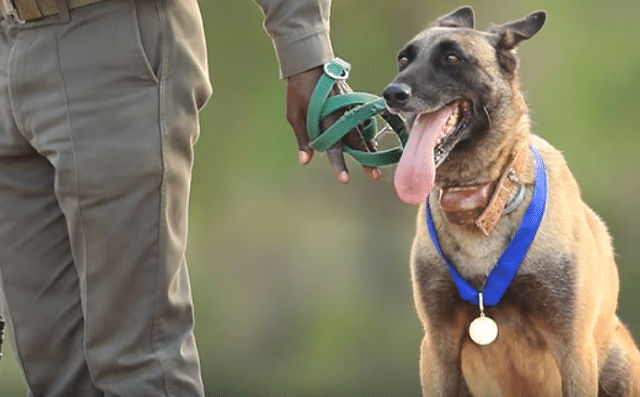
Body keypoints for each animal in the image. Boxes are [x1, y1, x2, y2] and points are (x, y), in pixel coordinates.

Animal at [382, 6, 640, 396]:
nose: (392, 93)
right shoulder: (438, 345)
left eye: (452, 58)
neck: (482, 202)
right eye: (403, 59)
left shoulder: (573, 347)